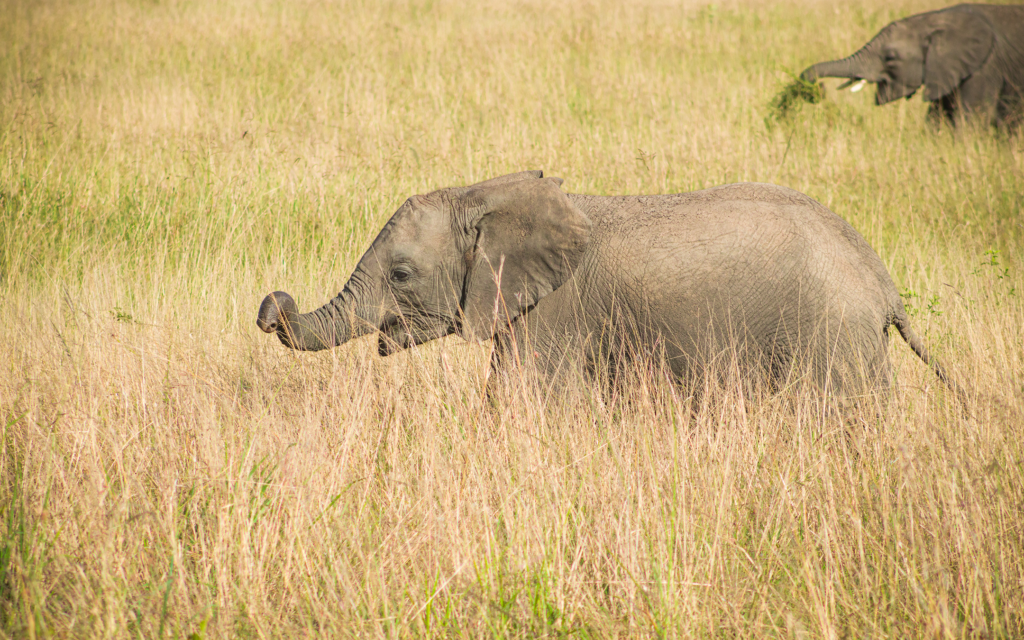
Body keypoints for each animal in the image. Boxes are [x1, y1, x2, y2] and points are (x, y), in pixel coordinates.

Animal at [257, 171, 960, 403]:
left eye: (401, 275)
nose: (271, 306)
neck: (483, 195)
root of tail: (885, 286)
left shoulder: (552, 314)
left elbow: (524, 401)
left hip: (833, 337)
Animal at [800, 4, 1024, 129]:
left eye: (890, 57)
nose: (817, 89)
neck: (935, 18)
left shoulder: (986, 68)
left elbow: (970, 123)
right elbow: (936, 121)